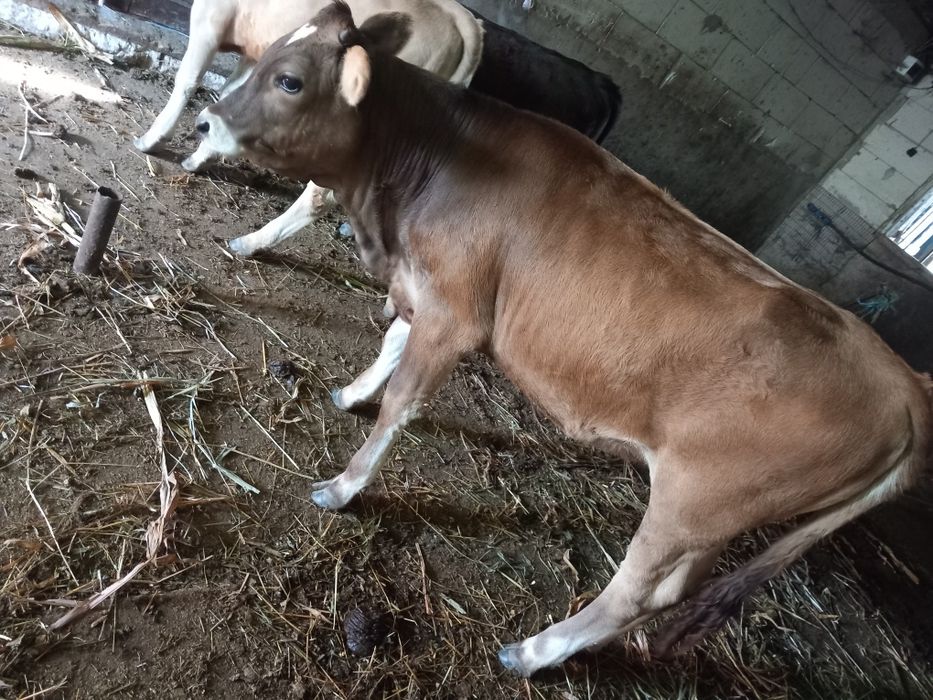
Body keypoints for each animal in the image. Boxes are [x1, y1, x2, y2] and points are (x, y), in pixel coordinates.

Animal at [191, 2, 933, 678]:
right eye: (263, 55)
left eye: (289, 80)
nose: (205, 121)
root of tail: (905, 383)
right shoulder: (431, 285)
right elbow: (392, 345)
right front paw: (350, 394)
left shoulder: (457, 310)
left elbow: (403, 401)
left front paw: (344, 486)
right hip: (713, 524)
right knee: (671, 596)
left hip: (697, 502)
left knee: (638, 592)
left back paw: (530, 652)